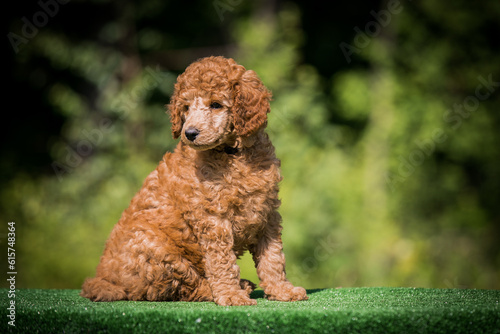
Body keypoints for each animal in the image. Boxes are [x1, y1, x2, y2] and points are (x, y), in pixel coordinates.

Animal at [81, 56, 308, 306]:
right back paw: (232, 289)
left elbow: (273, 257)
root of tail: (106, 280)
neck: (234, 154)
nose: (189, 133)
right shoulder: (213, 218)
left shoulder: (267, 213)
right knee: (179, 287)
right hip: (155, 248)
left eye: (216, 105)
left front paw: (282, 290)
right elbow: (222, 262)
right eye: (186, 108)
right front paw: (230, 295)